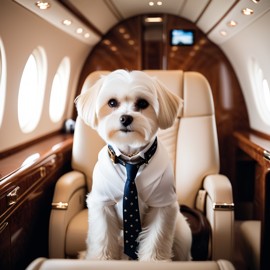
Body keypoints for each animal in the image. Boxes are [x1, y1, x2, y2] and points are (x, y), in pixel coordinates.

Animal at [75, 69, 191, 262]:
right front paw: (101, 260)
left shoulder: (162, 204)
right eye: (112, 103)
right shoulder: (102, 203)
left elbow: (157, 238)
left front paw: (154, 261)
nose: (125, 118)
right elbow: (103, 237)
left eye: (143, 103)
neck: (130, 162)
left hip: (182, 233)